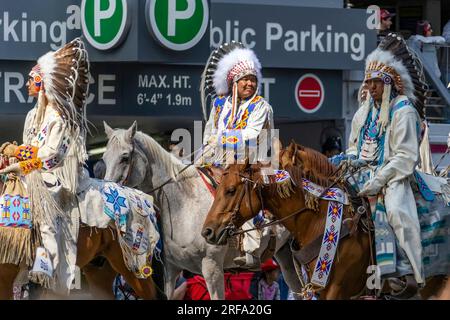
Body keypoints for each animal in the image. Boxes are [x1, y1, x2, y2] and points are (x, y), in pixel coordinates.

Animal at [99, 122, 302, 300]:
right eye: (104, 159)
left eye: (125, 157)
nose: (107, 194)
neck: (185, 205)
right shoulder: (171, 270)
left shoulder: (211, 267)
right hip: (285, 255)